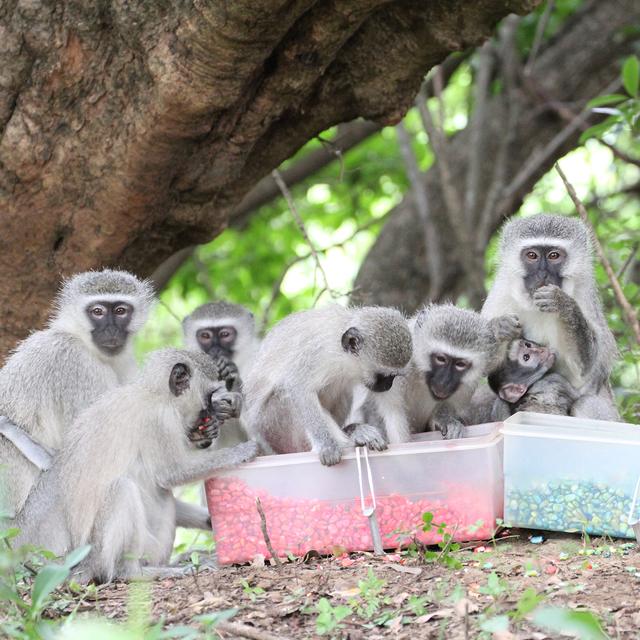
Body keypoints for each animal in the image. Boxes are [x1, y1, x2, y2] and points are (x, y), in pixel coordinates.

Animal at [15, 348, 256, 584]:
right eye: (209, 398)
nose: (211, 421)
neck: (155, 394)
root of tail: (81, 567)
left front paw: (211, 520)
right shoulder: (159, 420)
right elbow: (172, 473)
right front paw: (244, 451)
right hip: (101, 554)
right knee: (123, 491)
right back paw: (134, 573)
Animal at [242, 304, 412, 464]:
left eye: (393, 377)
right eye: (382, 376)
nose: (387, 386)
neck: (345, 359)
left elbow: (391, 407)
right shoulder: (317, 352)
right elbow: (299, 387)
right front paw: (327, 446)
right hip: (273, 429)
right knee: (285, 395)